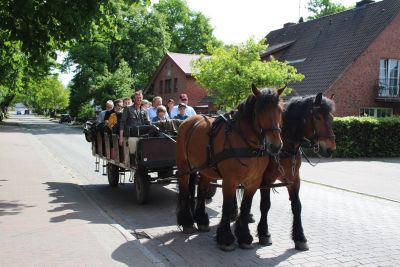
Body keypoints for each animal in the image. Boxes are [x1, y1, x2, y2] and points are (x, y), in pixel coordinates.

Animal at [176, 85, 284, 251]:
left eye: (280, 110)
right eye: (260, 111)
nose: (276, 145)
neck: (247, 144)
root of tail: (188, 121)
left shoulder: (253, 182)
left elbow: (246, 207)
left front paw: (244, 237)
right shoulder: (230, 181)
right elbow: (226, 207)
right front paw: (226, 239)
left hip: (205, 169)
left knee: (201, 192)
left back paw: (201, 220)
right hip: (183, 168)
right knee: (184, 191)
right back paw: (187, 221)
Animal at [255, 93, 336, 251]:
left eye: (331, 118)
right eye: (317, 117)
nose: (330, 149)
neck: (285, 148)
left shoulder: (294, 180)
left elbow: (297, 206)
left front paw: (300, 237)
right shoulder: (266, 180)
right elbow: (265, 205)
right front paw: (264, 233)